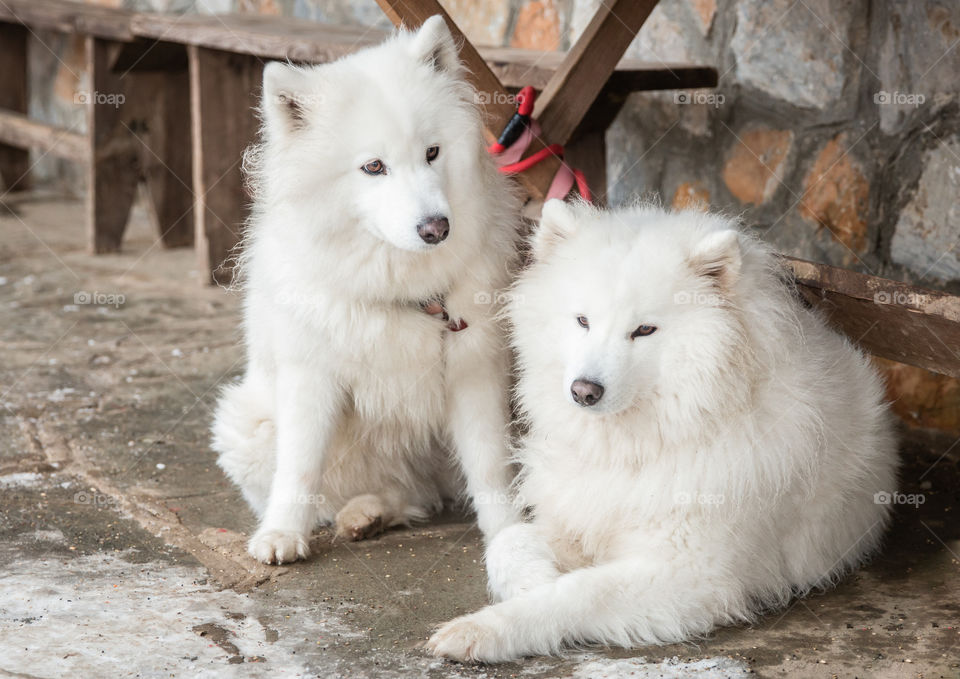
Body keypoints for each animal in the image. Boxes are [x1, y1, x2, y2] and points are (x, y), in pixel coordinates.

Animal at [214, 17, 520, 568]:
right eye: (374, 167)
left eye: (432, 152)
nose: (437, 228)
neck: (402, 285)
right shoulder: (310, 377)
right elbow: (299, 466)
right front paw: (282, 535)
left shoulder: (474, 371)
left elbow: (490, 467)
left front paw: (510, 536)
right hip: (243, 424)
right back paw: (360, 515)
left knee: (419, 497)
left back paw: (370, 515)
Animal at [430, 199, 900, 660]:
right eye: (582, 321)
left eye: (644, 330)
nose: (584, 391)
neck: (639, 446)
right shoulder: (579, 516)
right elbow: (508, 541)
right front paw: (534, 579)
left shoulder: (690, 572)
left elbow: (579, 591)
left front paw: (484, 628)